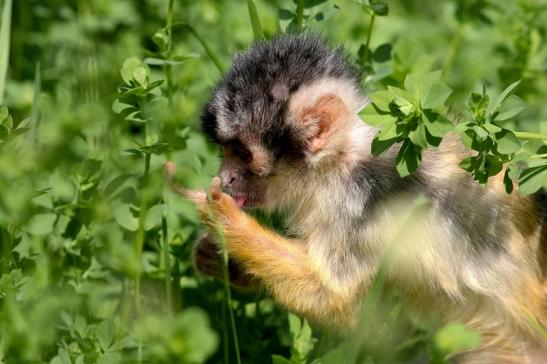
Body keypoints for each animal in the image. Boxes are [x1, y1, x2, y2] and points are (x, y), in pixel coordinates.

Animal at [172, 34, 547, 364]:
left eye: (242, 154)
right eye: (225, 151)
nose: (226, 177)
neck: (342, 160)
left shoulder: (364, 201)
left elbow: (337, 301)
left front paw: (222, 217)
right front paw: (218, 256)